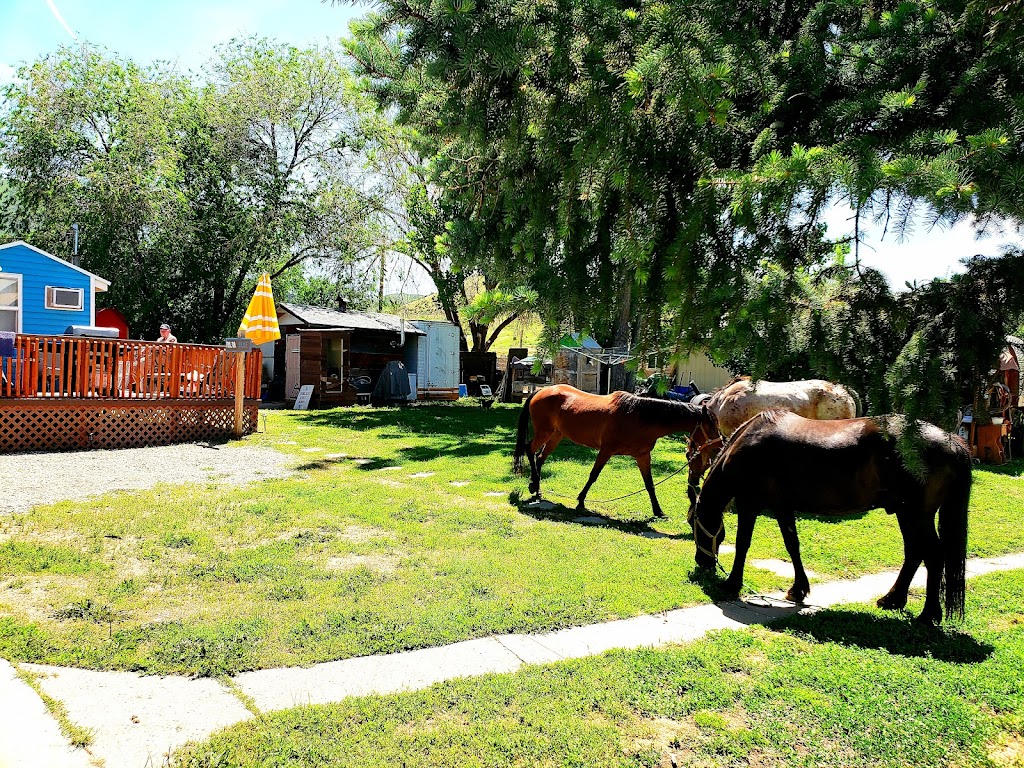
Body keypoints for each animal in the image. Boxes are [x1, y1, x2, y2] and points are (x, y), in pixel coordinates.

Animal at [512, 382, 720, 520]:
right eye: (710, 427)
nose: (720, 445)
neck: (638, 417)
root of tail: (541, 390)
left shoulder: (643, 456)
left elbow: (649, 484)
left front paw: (659, 511)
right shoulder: (606, 450)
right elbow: (593, 476)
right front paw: (580, 501)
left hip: (556, 435)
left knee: (540, 457)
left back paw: (536, 488)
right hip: (545, 432)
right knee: (529, 450)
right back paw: (533, 485)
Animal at [688, 415, 966, 626]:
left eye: (696, 527)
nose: (702, 562)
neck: (749, 440)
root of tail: (952, 441)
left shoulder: (749, 504)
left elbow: (743, 544)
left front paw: (732, 584)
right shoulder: (782, 506)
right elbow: (792, 545)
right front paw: (799, 588)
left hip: (917, 516)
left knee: (933, 556)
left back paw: (928, 615)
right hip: (904, 513)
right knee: (914, 553)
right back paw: (892, 600)